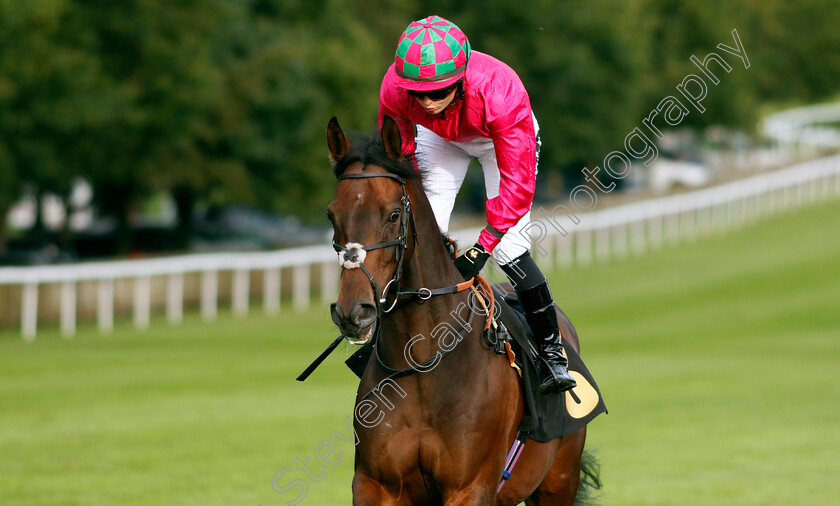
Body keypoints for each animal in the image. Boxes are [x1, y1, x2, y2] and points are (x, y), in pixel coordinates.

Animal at [328, 116, 596, 504]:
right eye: (331, 215)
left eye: (393, 214)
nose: (353, 311)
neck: (424, 363)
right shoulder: (373, 484)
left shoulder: (470, 487)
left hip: (558, 479)